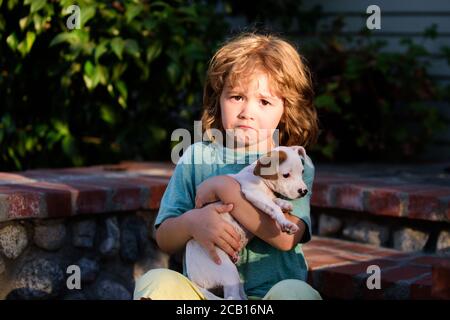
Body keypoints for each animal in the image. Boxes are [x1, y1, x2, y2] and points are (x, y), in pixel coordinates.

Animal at [184, 145, 310, 300]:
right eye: (286, 175)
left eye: (302, 172)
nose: (304, 191)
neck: (260, 179)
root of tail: (193, 279)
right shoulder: (253, 193)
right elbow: (273, 208)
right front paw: (285, 223)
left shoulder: (265, 197)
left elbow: (274, 201)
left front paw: (284, 204)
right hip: (227, 270)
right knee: (231, 297)